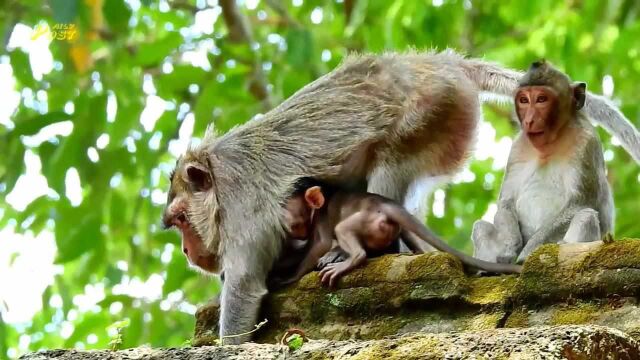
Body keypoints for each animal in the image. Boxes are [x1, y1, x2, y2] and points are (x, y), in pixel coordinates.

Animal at [276, 181, 520, 288]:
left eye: (294, 224)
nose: (296, 233)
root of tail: (387, 205)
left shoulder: (320, 219)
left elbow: (322, 243)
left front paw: (288, 278)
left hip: (369, 221)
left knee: (343, 230)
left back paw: (351, 259)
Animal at [472, 60, 636, 264]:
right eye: (524, 100)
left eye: (542, 99)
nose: (529, 120)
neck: (550, 145)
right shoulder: (518, 148)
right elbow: (506, 203)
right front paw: (510, 248)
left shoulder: (586, 143)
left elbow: (579, 203)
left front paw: (527, 254)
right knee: (480, 227)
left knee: (586, 216)